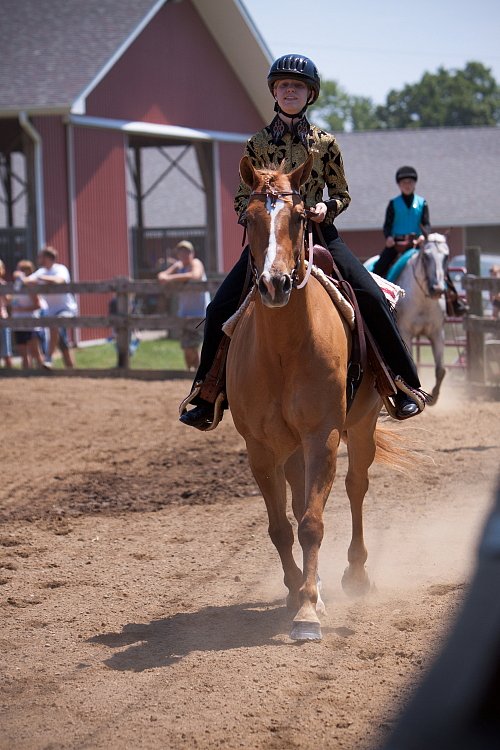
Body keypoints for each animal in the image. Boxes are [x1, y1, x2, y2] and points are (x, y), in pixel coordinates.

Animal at [227, 156, 398, 644]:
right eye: (248, 218)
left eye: (300, 217)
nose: (275, 284)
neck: (284, 350)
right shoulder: (261, 449)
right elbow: (282, 527)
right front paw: (296, 593)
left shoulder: (323, 436)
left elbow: (312, 524)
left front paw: (306, 613)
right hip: (291, 449)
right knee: (301, 497)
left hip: (361, 427)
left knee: (356, 486)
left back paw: (354, 575)